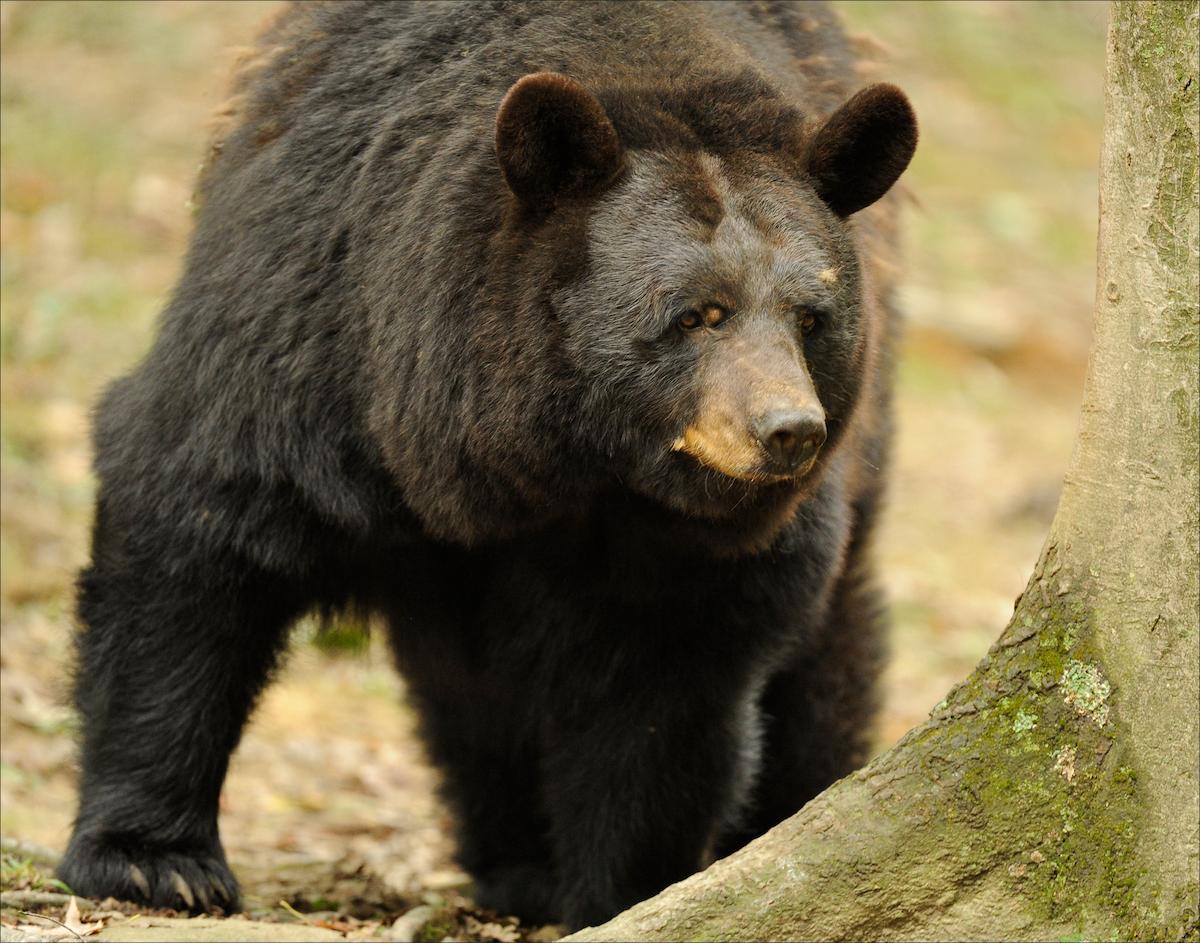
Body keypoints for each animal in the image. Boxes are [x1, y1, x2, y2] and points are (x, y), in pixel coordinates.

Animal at [58, 0, 916, 930]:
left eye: (811, 316)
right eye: (696, 313)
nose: (788, 430)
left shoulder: (691, 547)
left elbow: (662, 689)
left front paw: (624, 889)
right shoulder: (316, 316)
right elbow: (199, 523)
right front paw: (153, 860)